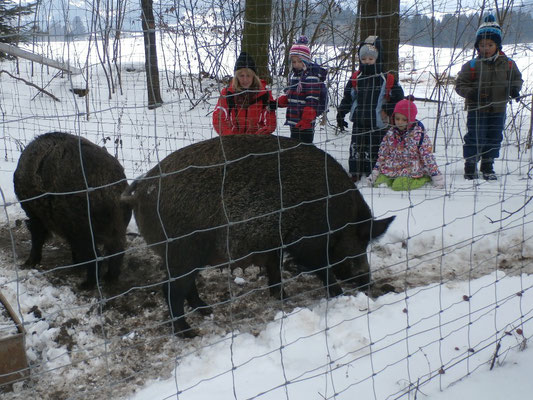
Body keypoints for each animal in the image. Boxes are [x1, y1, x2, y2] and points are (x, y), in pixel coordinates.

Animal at [13, 133, 132, 290]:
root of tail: (109, 189)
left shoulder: (36, 215)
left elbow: (37, 237)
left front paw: (27, 264)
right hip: (116, 224)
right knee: (117, 250)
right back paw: (109, 278)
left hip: (81, 227)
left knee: (97, 256)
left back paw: (85, 285)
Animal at [121, 135, 394, 338]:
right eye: (358, 247)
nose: (368, 284)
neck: (337, 218)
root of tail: (140, 190)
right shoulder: (307, 242)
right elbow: (323, 269)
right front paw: (339, 295)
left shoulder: (275, 243)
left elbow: (274, 269)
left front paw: (282, 297)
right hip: (183, 251)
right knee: (170, 289)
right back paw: (188, 333)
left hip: (187, 256)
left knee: (185, 287)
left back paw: (206, 310)